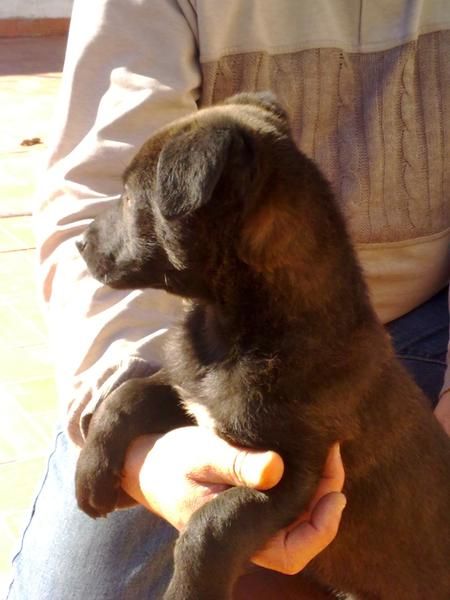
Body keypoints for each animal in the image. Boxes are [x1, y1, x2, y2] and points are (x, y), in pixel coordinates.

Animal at [74, 91, 450, 596]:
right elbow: (128, 394)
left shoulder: (295, 473)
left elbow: (213, 525)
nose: (80, 242)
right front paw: (91, 477)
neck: (234, 331)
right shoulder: (191, 396)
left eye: (133, 197)